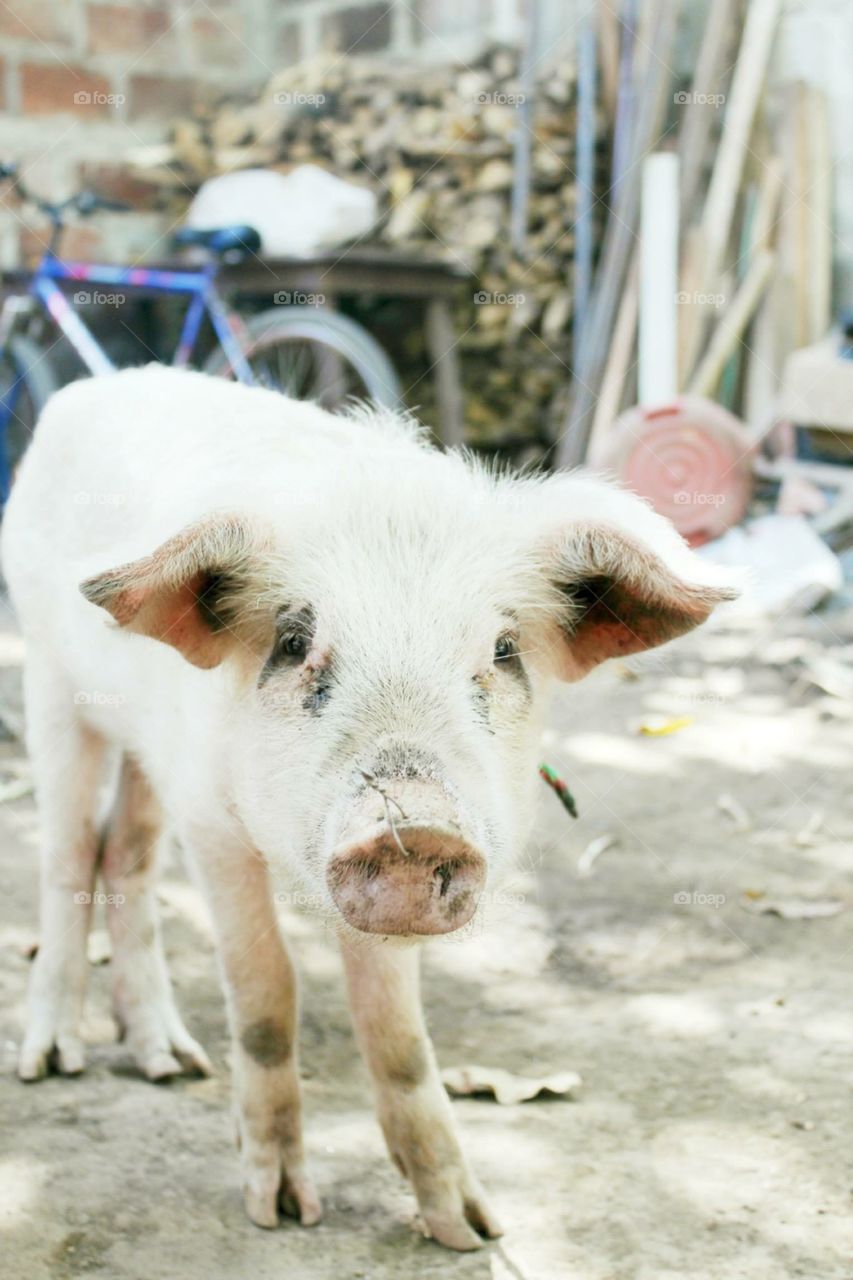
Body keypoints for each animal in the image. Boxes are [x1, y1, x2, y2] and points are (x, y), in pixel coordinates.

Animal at [1, 366, 736, 1250]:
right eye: (292, 644)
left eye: (501, 651)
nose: (411, 827)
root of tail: (95, 386)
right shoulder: (213, 827)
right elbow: (264, 990)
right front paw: (282, 1212)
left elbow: (398, 1033)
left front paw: (471, 1230)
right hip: (49, 680)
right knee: (69, 854)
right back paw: (52, 1060)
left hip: (146, 752)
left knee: (127, 854)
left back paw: (171, 1062)